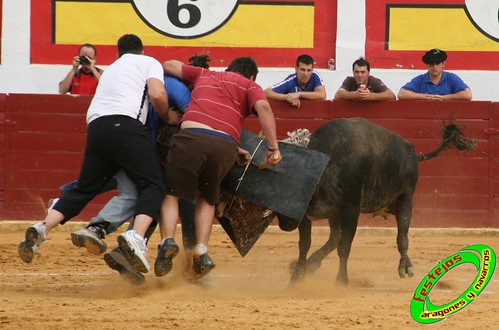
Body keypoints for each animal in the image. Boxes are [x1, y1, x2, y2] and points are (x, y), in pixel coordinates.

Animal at [278, 117, 476, 284]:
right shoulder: (308, 214)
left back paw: (406, 266)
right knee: (334, 237)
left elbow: (344, 246)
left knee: (402, 236)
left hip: (406, 200)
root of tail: (411, 151)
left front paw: (341, 281)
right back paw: (312, 264)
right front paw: (296, 278)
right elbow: (305, 244)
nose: (285, 225)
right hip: (335, 213)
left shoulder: (351, 209)